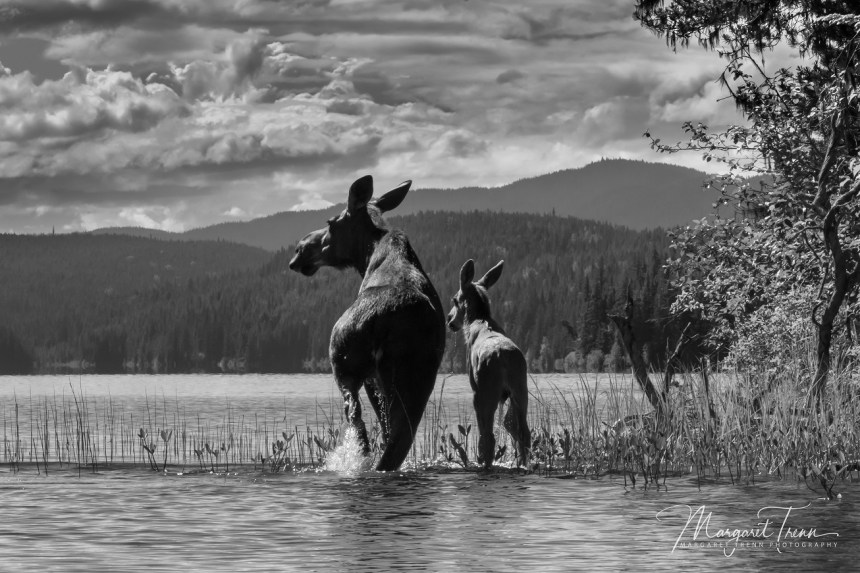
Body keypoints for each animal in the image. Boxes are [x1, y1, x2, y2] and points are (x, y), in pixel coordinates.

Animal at [288, 175, 446, 471]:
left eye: (330, 222)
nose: (298, 249)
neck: (367, 257)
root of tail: (385, 322)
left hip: (349, 365)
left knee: (356, 415)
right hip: (418, 378)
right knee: (398, 437)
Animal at [447, 259, 530, 469]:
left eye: (454, 299)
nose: (449, 321)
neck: (475, 320)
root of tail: (503, 358)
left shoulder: (475, 388)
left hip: (486, 391)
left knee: (488, 436)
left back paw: (484, 464)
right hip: (520, 390)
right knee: (523, 432)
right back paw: (523, 464)